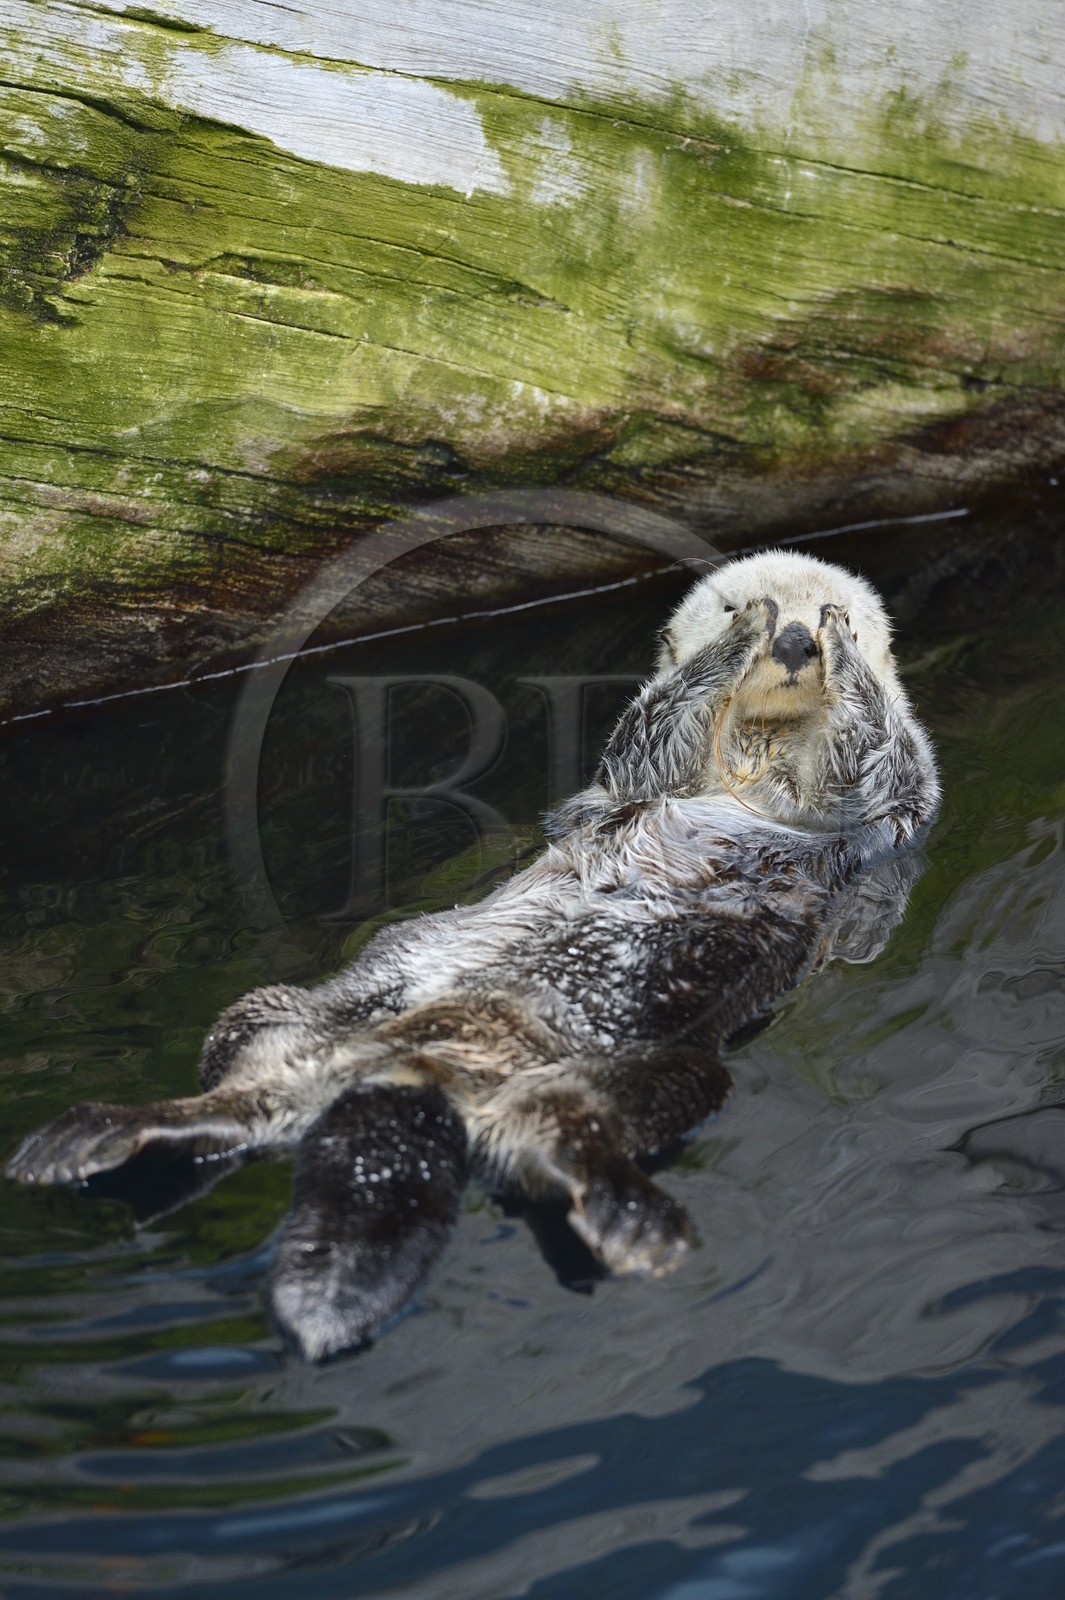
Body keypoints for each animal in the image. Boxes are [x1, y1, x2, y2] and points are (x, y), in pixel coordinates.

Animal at [6, 551, 940, 1360]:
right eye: (733, 602)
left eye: (842, 612)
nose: (794, 638)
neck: (754, 762)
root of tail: (418, 1074)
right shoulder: (643, 775)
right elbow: (657, 731)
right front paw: (739, 639)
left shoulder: (884, 799)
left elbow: (870, 755)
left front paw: (842, 663)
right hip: (291, 1013)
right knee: (240, 1094)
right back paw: (89, 1137)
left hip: (658, 1069)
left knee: (570, 1138)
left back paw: (629, 1219)